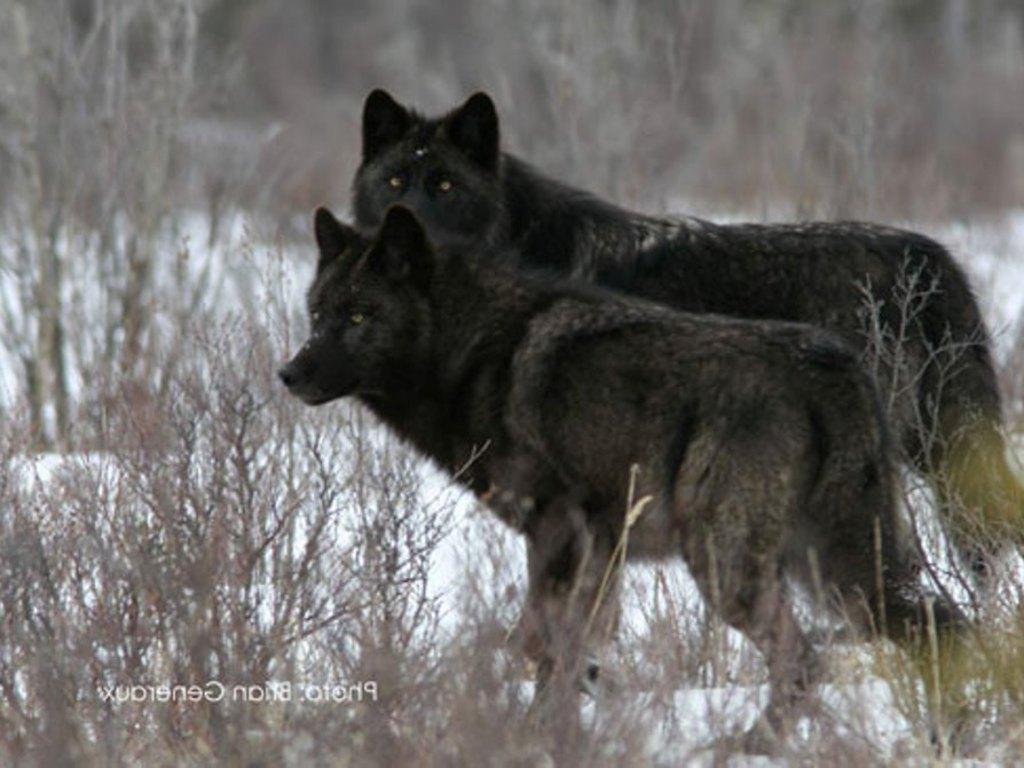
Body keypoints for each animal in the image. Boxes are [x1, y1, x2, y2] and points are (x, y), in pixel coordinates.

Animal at [279, 205, 965, 752]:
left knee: (807, 658)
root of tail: (835, 365)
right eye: (317, 313)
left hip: (731, 565)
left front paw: (538, 738)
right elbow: (570, 654)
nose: (289, 373)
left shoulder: (557, 532)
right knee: (938, 623)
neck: (476, 351)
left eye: (360, 316)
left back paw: (747, 747)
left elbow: (546, 649)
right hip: (831, 566)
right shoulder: (600, 549)